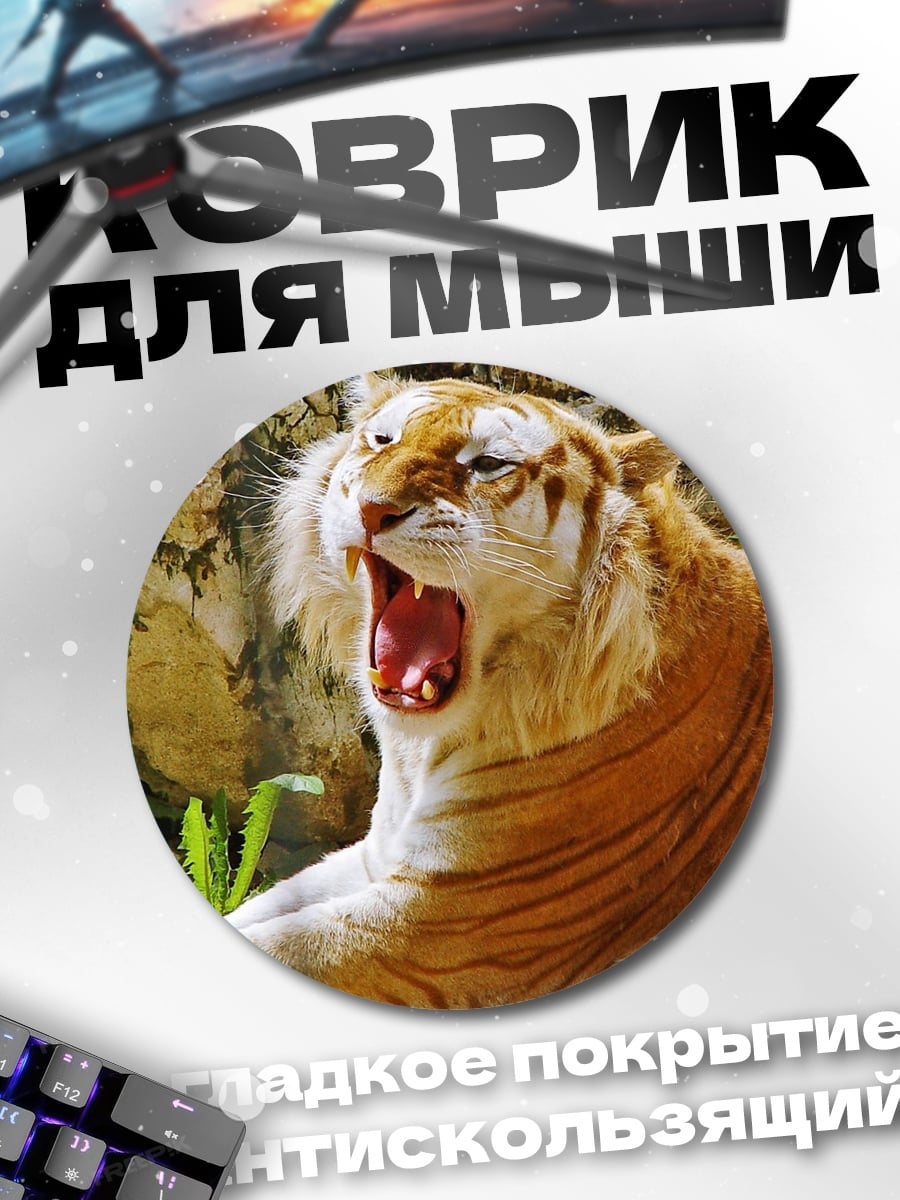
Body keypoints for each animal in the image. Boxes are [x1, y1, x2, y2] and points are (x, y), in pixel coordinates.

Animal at [225, 373, 773, 1008]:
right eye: (382, 440)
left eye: (487, 464)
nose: (371, 506)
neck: (419, 751)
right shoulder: (374, 857)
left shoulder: (442, 924)